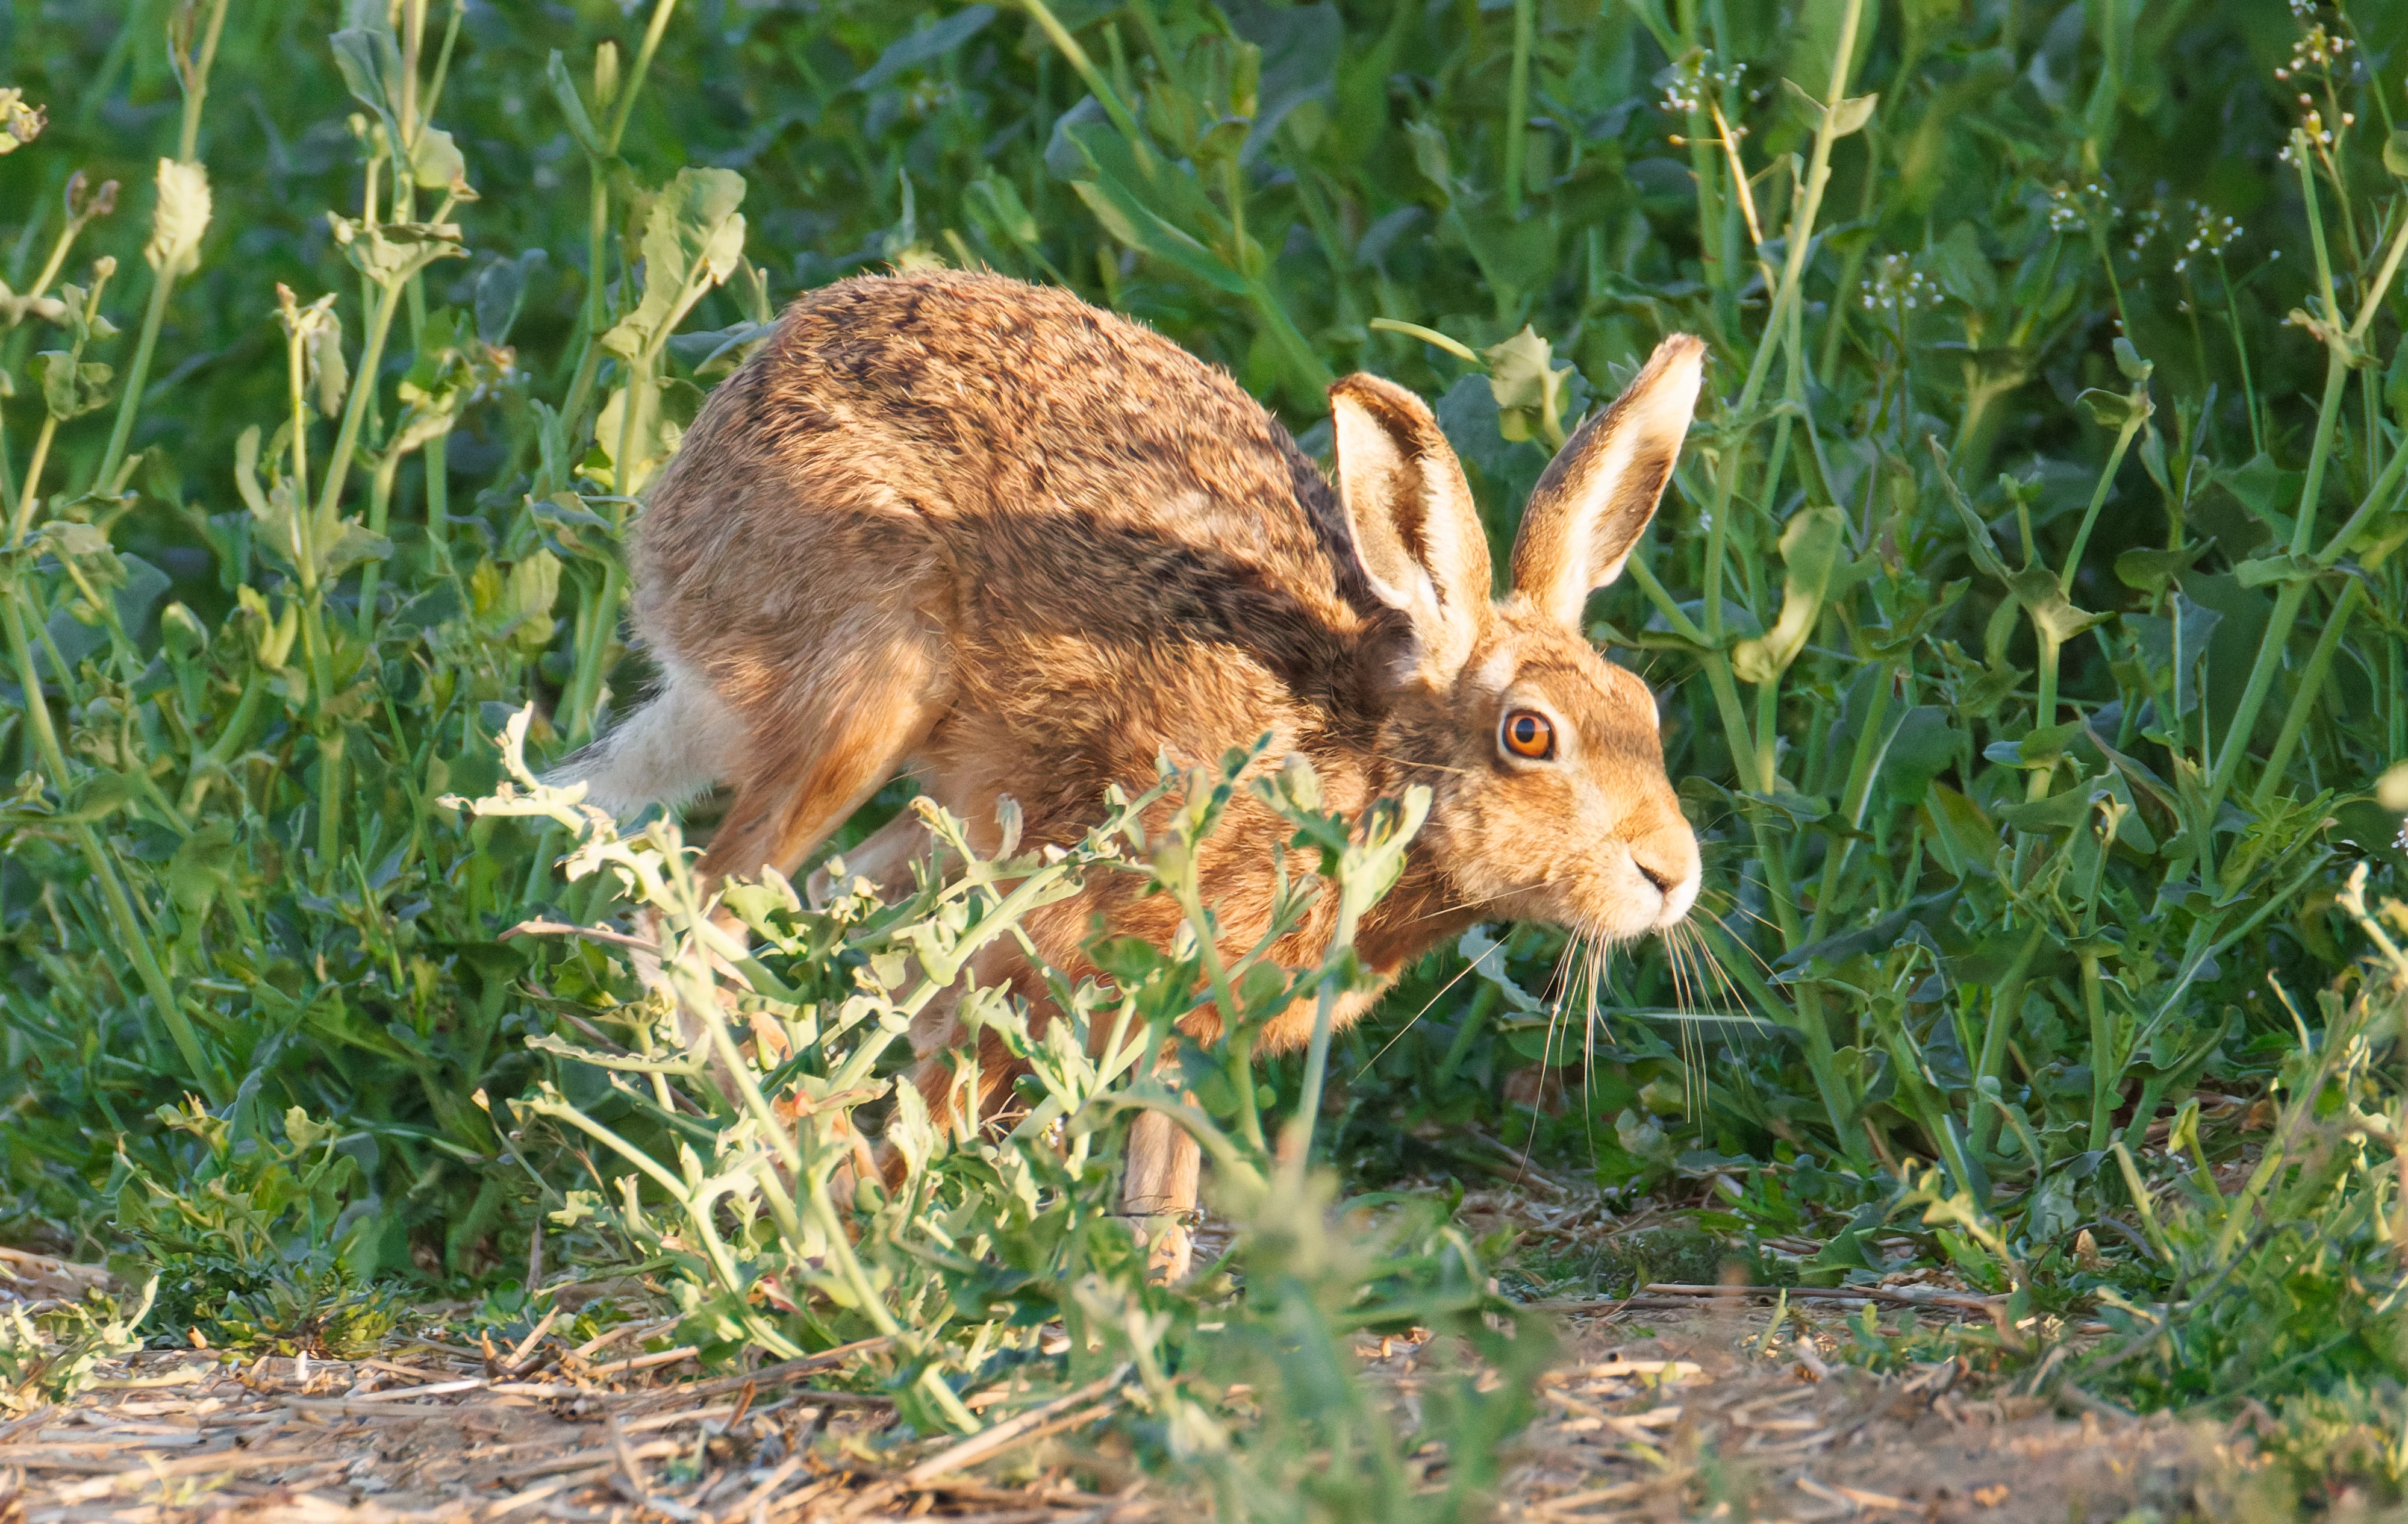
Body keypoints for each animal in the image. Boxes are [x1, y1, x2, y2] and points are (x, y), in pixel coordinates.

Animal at [561, 269, 1705, 1275]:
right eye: (1529, 735)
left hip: (963, 792)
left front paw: (1154, 1287)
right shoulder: (1054, 945)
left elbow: (1162, 1167)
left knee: (839, 898)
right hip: (868, 690)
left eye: (1644, 712)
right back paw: (820, 1157)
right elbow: (963, 1078)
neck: (1366, 765)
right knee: (696, 919)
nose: (1670, 876)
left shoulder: (1185, 1005)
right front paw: (899, 1220)